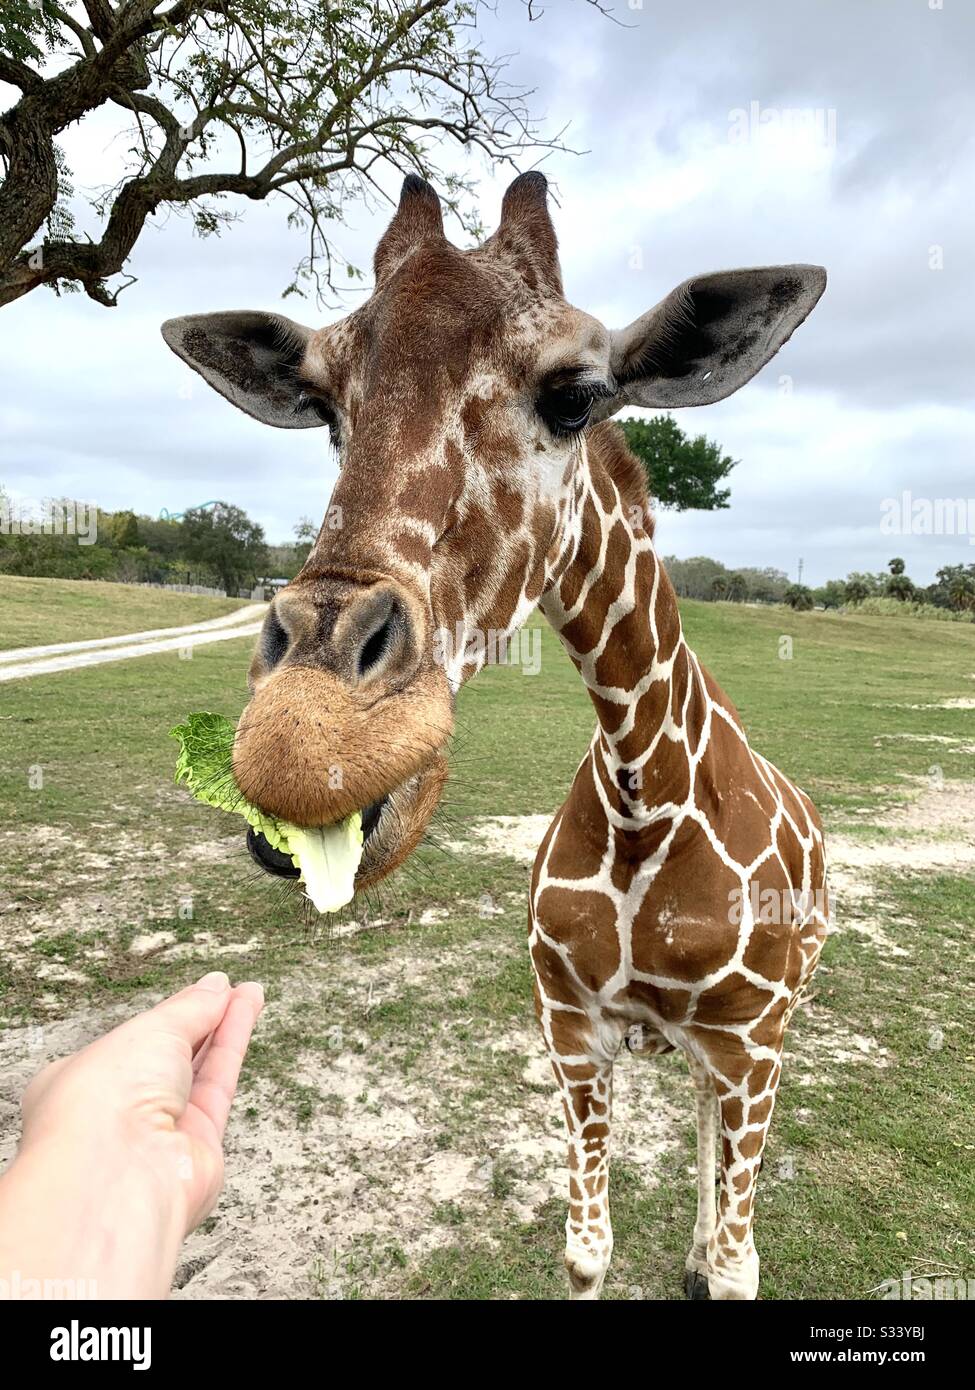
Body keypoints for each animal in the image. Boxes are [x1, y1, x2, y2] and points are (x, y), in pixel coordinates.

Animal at [161, 170, 828, 1301]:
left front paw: (713, 1261)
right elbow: (585, 1248)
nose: (305, 733)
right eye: (325, 407)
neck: (647, 797)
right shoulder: (571, 1029)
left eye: (574, 395)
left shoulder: (751, 1043)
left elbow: (743, 1267)